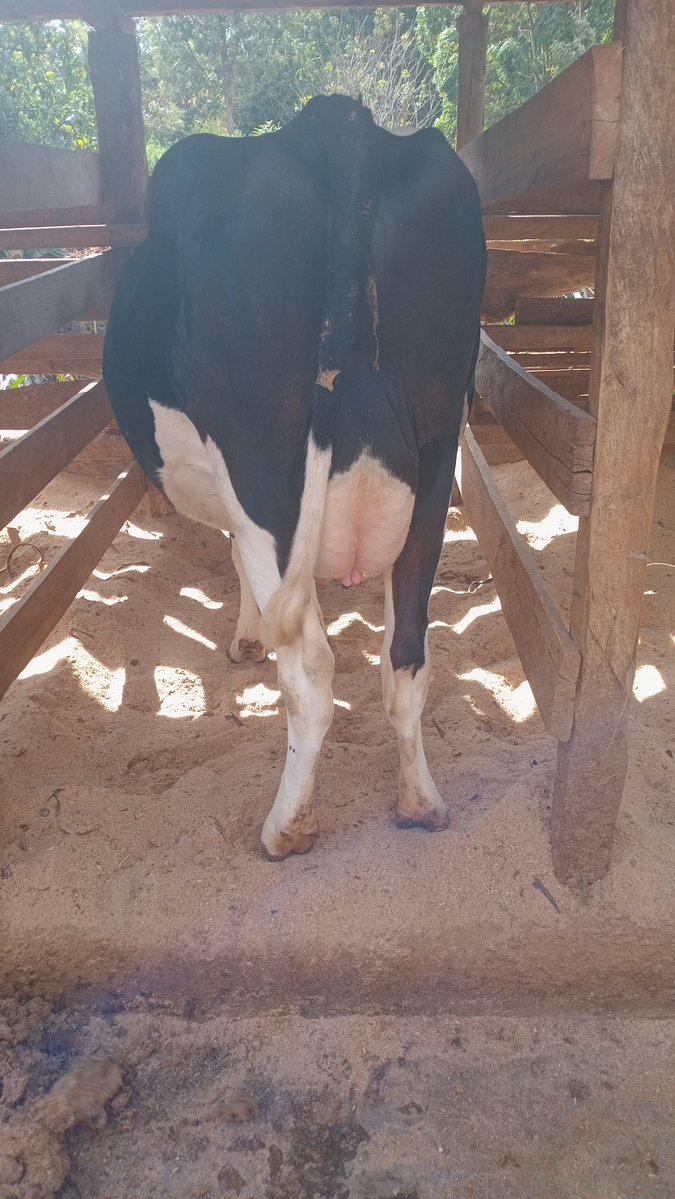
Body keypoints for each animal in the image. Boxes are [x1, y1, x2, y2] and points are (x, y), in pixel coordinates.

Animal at [103, 94, 486, 860]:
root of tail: (340, 124)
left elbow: (238, 564)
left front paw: (246, 638)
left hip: (265, 473)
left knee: (310, 673)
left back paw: (287, 826)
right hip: (436, 459)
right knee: (406, 656)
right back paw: (421, 804)